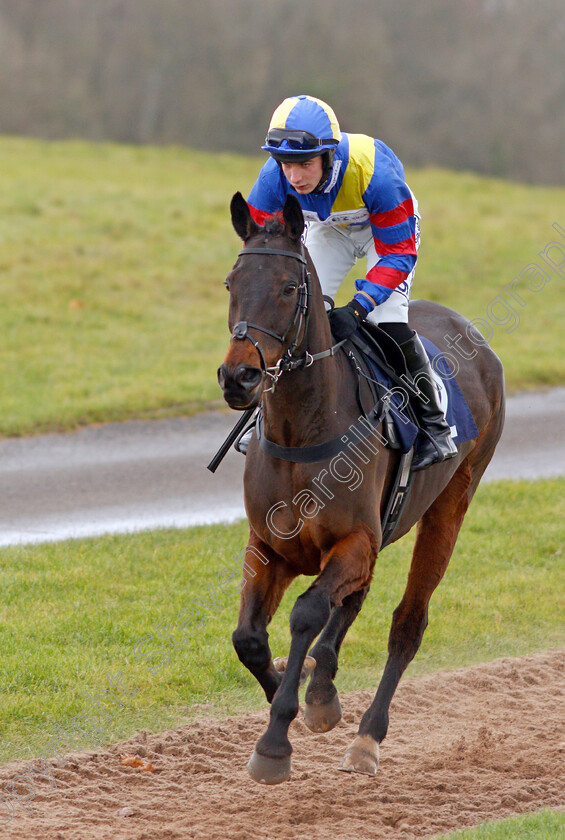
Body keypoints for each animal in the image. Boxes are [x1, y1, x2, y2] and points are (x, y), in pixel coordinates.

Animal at [218, 189, 504, 780]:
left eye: (288, 288)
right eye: (232, 284)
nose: (239, 378)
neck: (302, 429)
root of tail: (477, 339)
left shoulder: (353, 541)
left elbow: (307, 613)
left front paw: (278, 738)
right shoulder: (271, 545)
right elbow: (249, 638)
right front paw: (302, 693)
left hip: (451, 504)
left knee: (408, 622)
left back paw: (368, 737)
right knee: (354, 601)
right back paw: (323, 687)